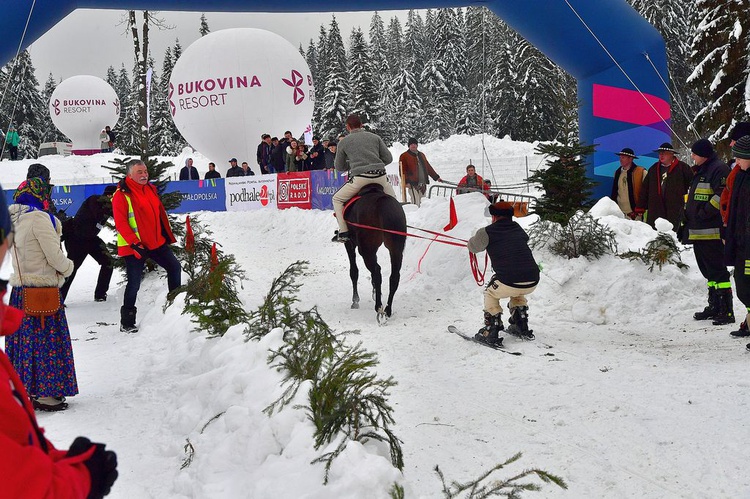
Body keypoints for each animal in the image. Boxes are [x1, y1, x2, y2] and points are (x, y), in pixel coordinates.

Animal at [346, 186, 408, 322]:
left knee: (376, 271)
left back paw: (379, 307)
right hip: (396, 249)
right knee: (394, 276)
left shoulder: (349, 244)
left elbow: (354, 272)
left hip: (366, 249)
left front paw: (355, 301)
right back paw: (388, 309)